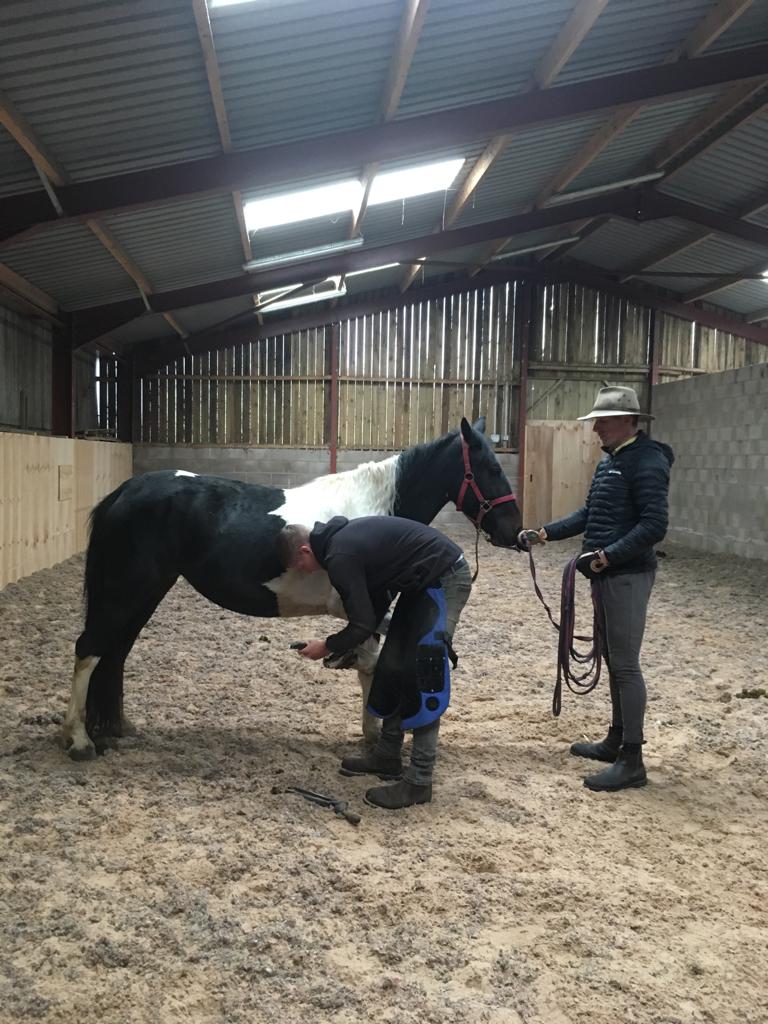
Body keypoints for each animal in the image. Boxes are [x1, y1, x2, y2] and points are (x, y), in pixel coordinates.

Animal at [62, 417, 521, 760]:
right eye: (492, 470)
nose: (515, 533)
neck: (375, 508)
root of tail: (124, 492)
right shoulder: (368, 607)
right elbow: (369, 669)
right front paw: (371, 736)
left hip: (145, 591)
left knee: (116, 653)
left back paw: (117, 728)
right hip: (126, 591)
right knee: (89, 650)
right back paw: (80, 740)